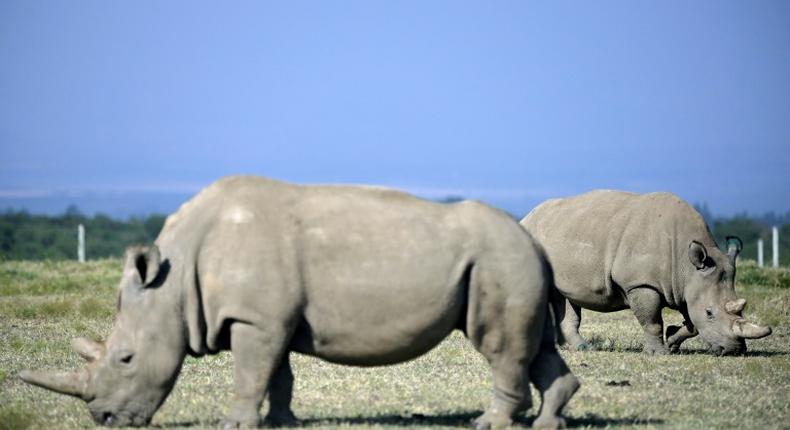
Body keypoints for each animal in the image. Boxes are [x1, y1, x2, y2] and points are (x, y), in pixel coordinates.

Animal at [20, 176, 580, 430]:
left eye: (126, 359)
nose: (105, 419)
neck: (172, 284)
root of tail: (535, 243)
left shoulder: (255, 319)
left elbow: (251, 374)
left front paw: (235, 425)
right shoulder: (270, 319)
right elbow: (278, 374)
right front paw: (281, 423)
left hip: (499, 261)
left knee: (499, 346)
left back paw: (488, 424)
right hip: (511, 261)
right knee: (533, 347)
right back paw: (548, 423)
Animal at [524, 190, 776, 354]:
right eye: (710, 313)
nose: (734, 350)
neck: (686, 263)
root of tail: (526, 216)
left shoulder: (685, 284)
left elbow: (691, 323)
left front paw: (672, 341)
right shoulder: (641, 283)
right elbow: (652, 320)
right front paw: (659, 352)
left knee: (565, 298)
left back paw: (581, 348)